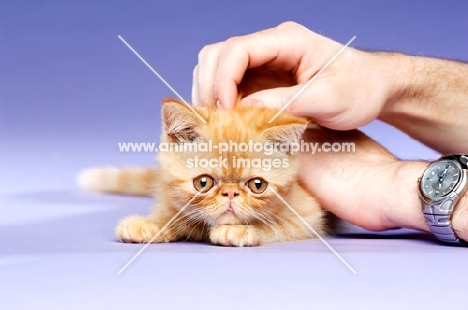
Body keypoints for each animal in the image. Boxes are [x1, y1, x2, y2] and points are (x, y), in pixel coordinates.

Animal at [78, 99, 328, 247]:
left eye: (257, 185)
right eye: (203, 183)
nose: (230, 193)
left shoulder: (310, 216)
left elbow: (278, 226)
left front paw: (237, 231)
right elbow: (174, 213)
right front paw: (152, 223)